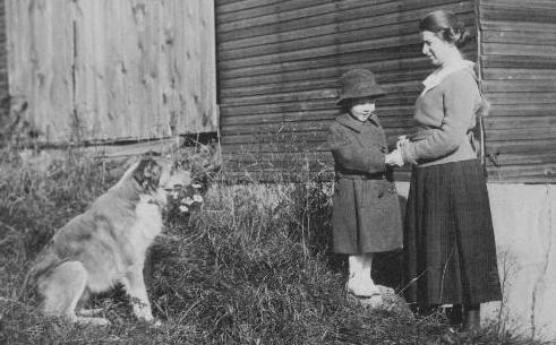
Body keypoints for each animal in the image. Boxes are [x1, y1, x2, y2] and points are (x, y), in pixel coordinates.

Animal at [25, 156, 191, 326]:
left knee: (75, 310)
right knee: (65, 316)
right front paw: (149, 322)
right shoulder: (132, 266)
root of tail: (28, 295)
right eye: (174, 168)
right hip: (76, 268)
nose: (192, 175)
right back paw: (97, 322)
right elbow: (142, 298)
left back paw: (96, 311)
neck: (140, 196)